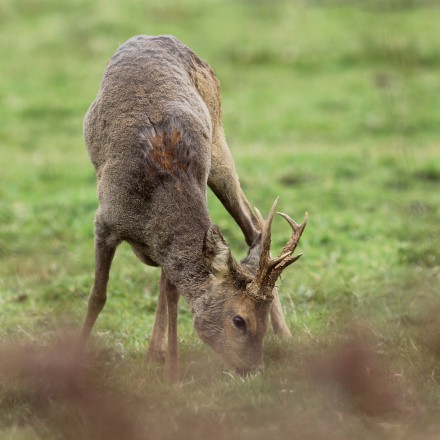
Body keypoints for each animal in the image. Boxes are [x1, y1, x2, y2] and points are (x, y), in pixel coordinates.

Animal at [79, 35, 306, 378]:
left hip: (218, 140)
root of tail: (155, 36)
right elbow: (98, 295)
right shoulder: (104, 222)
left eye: (262, 321)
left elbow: (171, 293)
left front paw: (171, 370)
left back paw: (287, 334)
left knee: (251, 223)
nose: (253, 369)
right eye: (239, 320)